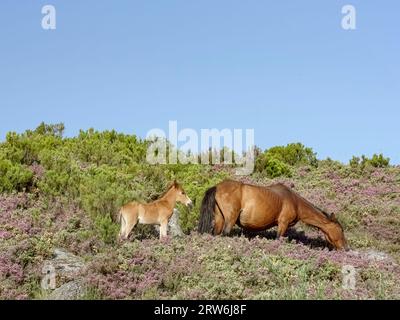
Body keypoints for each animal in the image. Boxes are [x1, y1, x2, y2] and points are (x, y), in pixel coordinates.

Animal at [198, 180, 348, 250]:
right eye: (341, 230)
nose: (346, 248)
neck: (294, 202)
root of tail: (217, 186)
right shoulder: (283, 224)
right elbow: (278, 239)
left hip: (219, 219)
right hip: (229, 220)